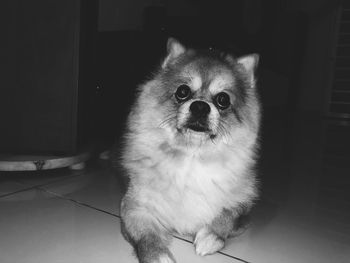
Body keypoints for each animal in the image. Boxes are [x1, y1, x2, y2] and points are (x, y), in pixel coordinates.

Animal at [117, 37, 260, 263]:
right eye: (182, 92)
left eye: (223, 100)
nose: (200, 106)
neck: (191, 157)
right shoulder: (134, 208)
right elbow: (146, 235)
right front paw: (158, 255)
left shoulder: (243, 210)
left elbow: (228, 215)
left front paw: (211, 236)